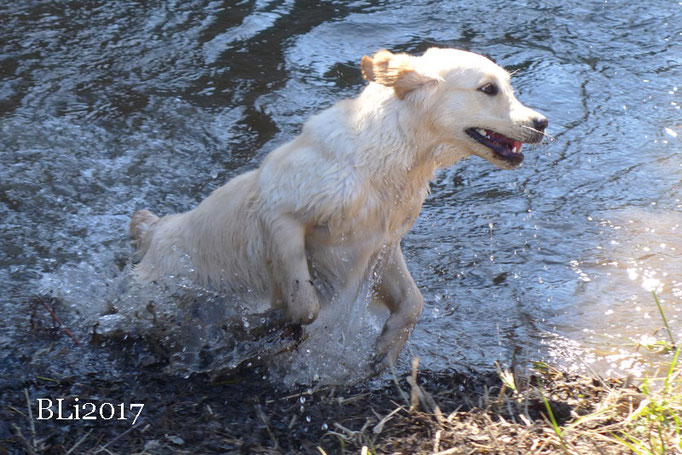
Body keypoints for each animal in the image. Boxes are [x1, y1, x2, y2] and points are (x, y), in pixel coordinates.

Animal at [130, 48, 548, 372]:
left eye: (507, 86)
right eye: (488, 89)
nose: (542, 122)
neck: (387, 157)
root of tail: (153, 232)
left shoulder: (382, 243)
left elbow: (413, 301)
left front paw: (385, 349)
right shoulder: (280, 214)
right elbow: (306, 304)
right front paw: (278, 327)